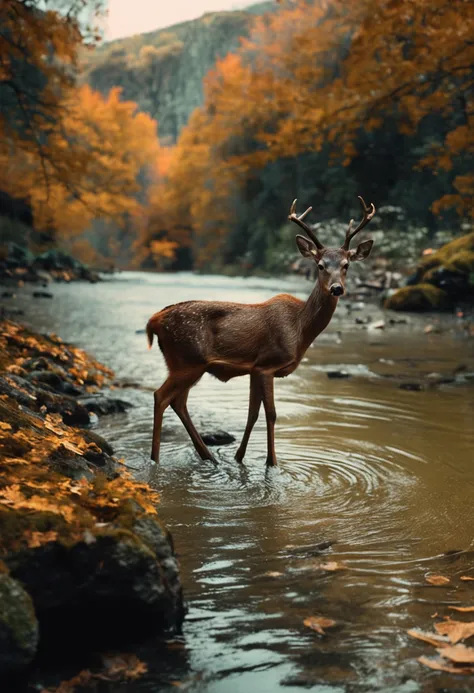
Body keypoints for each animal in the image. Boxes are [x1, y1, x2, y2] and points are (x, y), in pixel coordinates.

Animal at [146, 195, 376, 464]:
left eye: (346, 265)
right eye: (320, 265)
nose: (337, 288)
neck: (300, 330)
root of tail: (154, 320)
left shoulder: (254, 368)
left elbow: (252, 414)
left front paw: (239, 457)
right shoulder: (268, 364)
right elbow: (271, 414)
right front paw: (272, 462)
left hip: (189, 364)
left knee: (179, 402)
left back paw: (208, 456)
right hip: (187, 359)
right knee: (161, 397)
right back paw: (156, 458)